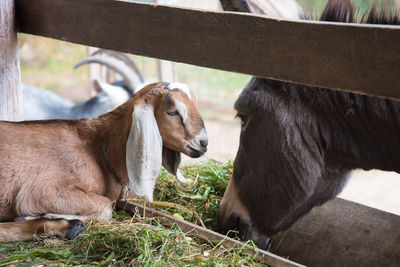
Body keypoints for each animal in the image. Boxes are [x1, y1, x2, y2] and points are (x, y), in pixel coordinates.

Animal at [0, 82, 209, 244]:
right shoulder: (41, 192)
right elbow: (106, 208)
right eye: (173, 112)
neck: (99, 150)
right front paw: (43, 215)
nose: (204, 143)